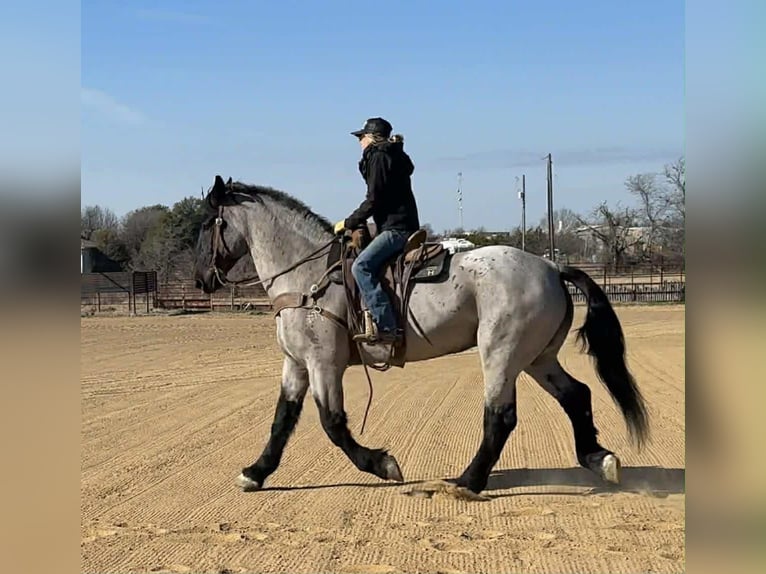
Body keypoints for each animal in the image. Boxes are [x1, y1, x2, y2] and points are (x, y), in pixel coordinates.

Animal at [193, 175, 649, 494]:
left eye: (206, 224)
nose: (201, 279)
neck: (307, 277)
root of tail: (552, 267)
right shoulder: (297, 364)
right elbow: (282, 419)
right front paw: (255, 472)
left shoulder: (324, 363)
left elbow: (332, 424)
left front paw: (383, 465)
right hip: (537, 358)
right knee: (576, 395)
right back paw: (599, 459)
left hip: (501, 354)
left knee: (500, 416)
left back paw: (467, 481)